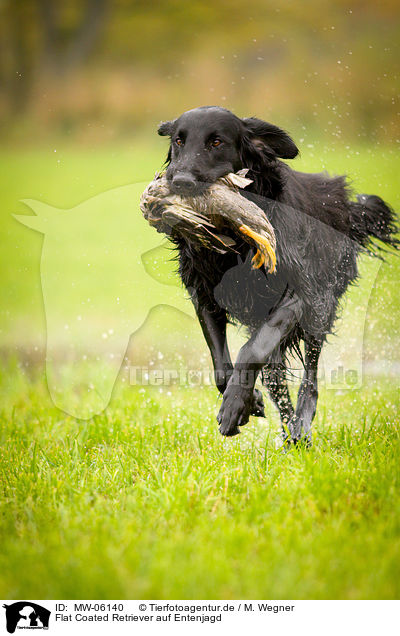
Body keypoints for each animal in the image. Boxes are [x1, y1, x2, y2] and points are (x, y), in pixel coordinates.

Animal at [157, 105, 396, 442]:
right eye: (179, 141)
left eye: (216, 142)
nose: (180, 181)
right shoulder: (204, 294)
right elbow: (221, 366)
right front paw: (248, 401)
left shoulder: (301, 291)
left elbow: (251, 350)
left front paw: (234, 406)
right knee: (276, 381)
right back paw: (288, 434)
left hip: (319, 309)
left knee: (310, 378)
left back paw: (301, 428)